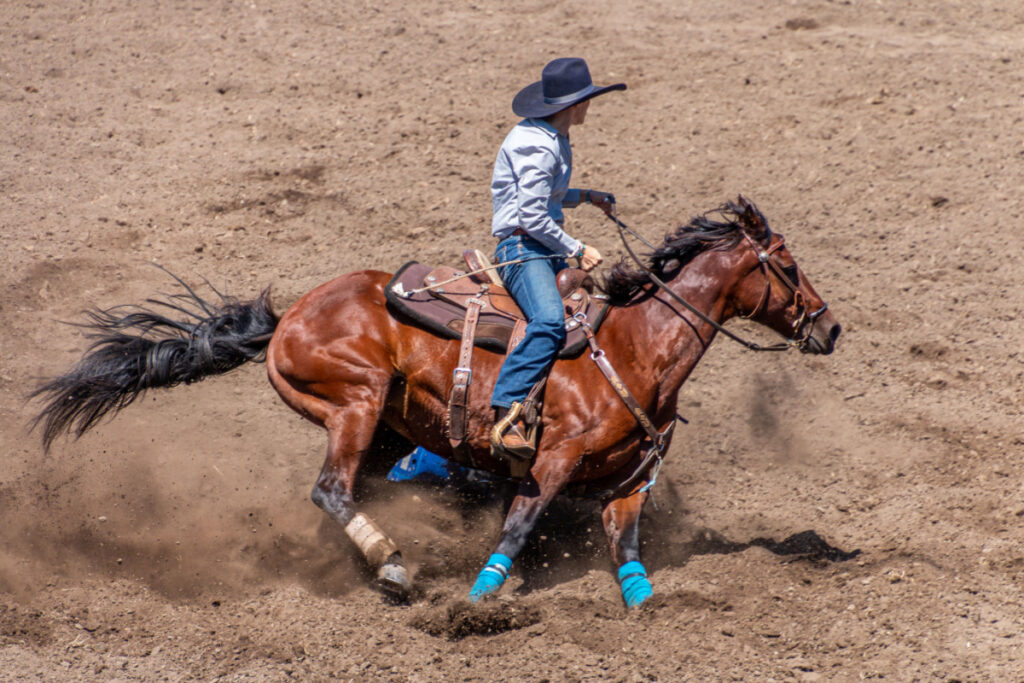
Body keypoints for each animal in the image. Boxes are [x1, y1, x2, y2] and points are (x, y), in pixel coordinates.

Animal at [34, 197, 839, 610]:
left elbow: (628, 550)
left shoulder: (629, 482)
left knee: (345, 493)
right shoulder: (550, 461)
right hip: (354, 404)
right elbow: (518, 527)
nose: (829, 327)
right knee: (329, 488)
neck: (638, 345)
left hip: (389, 430)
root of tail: (290, 313)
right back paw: (392, 565)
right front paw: (478, 602)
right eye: (787, 265)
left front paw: (650, 608)